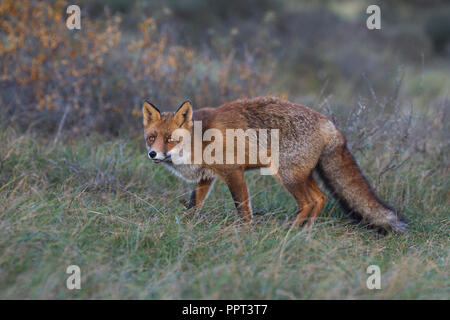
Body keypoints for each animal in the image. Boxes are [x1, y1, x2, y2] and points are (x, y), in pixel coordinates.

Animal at [143, 95, 408, 232]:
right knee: (320, 198)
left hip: (286, 175)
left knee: (308, 202)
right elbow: (193, 206)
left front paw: (245, 231)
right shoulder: (206, 177)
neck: (201, 139)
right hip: (301, 175)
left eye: (171, 139)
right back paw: (307, 231)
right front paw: (185, 226)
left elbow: (243, 208)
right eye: (151, 138)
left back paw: (290, 230)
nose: (153, 155)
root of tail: (329, 123)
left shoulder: (234, 172)